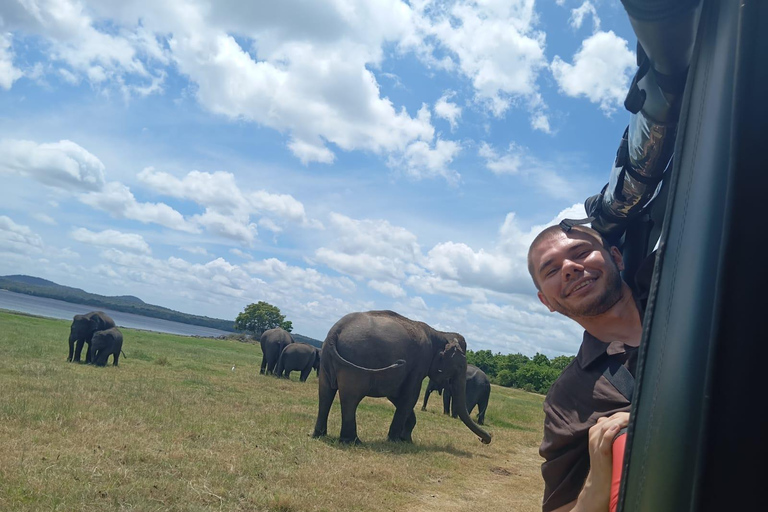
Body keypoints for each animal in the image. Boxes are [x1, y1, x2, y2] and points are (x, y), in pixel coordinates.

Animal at [312, 310, 492, 446]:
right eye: (460, 367)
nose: (484, 440)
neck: (440, 334)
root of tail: (336, 330)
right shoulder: (420, 361)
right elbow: (410, 396)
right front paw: (395, 440)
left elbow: (397, 395)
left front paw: (406, 439)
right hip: (355, 361)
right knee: (351, 398)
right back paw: (353, 441)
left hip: (328, 360)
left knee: (325, 393)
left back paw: (319, 435)